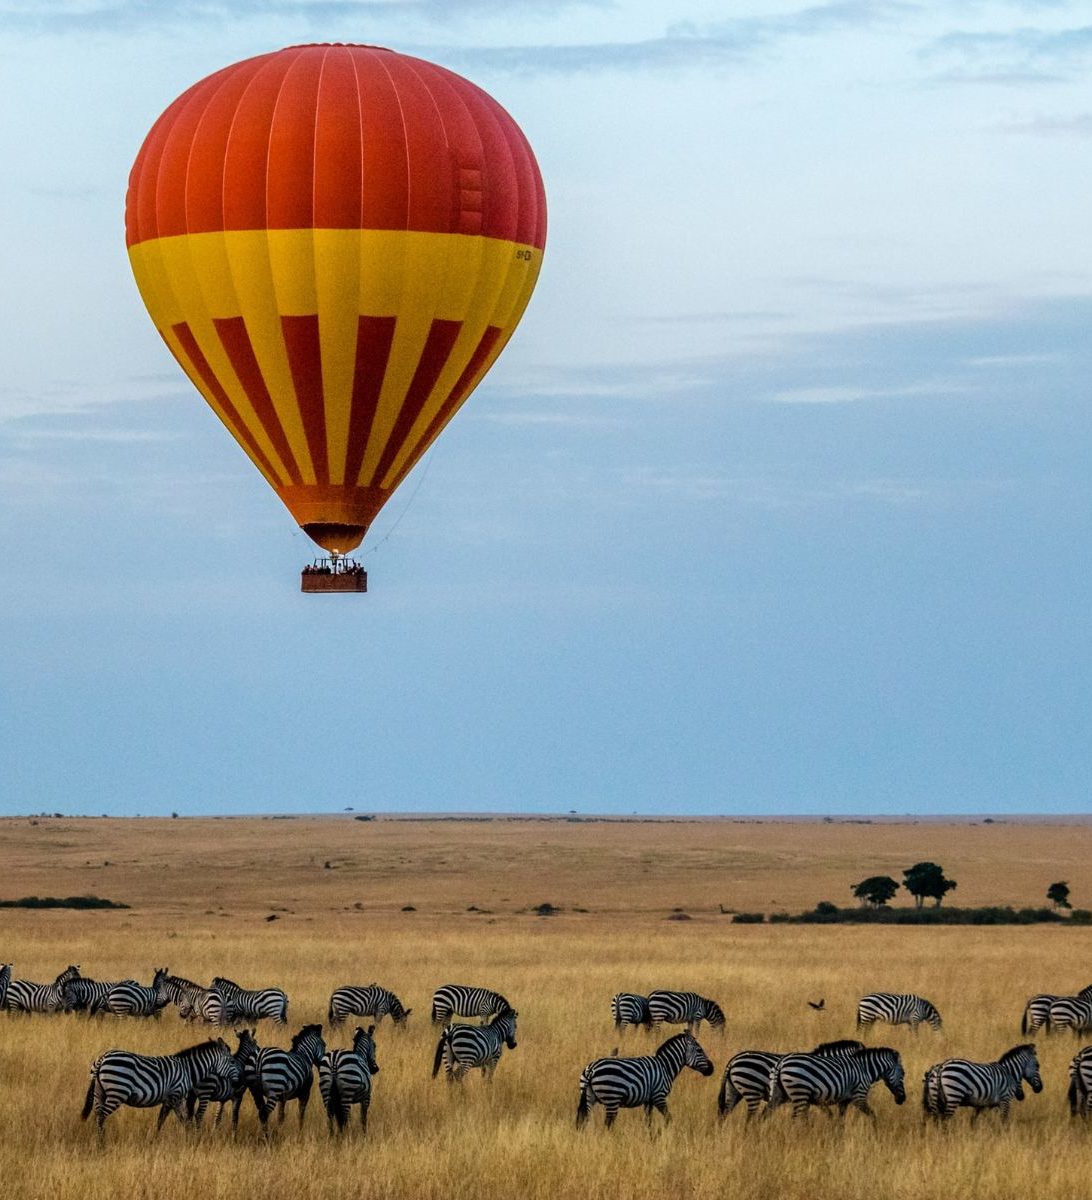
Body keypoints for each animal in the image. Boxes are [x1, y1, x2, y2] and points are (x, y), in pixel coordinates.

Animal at [80, 1037, 234, 1137]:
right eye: (232, 1061)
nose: (238, 1077)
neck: (188, 1070)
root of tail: (102, 1058)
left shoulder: (172, 1099)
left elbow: (167, 1119)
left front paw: (158, 1137)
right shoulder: (175, 1095)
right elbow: (177, 1119)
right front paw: (189, 1138)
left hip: (99, 1093)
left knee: (97, 1114)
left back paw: (97, 1137)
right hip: (117, 1092)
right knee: (101, 1115)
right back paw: (102, 1142)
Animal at [576, 1031, 714, 1129]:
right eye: (699, 1050)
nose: (712, 1069)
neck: (665, 1066)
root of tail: (591, 1069)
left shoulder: (649, 1100)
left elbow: (648, 1121)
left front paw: (651, 1136)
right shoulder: (659, 1096)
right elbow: (668, 1118)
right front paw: (667, 1133)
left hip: (589, 1097)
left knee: (583, 1120)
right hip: (612, 1099)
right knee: (607, 1125)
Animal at [768, 1045, 906, 1119]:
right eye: (903, 1074)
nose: (902, 1099)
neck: (864, 1069)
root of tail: (782, 1062)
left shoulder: (844, 1101)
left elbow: (840, 1121)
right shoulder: (859, 1096)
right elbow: (872, 1115)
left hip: (780, 1094)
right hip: (800, 1092)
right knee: (795, 1118)